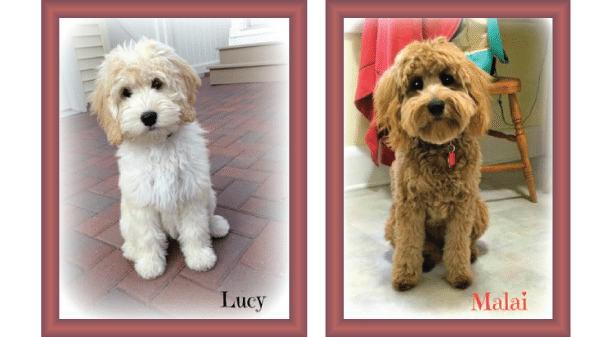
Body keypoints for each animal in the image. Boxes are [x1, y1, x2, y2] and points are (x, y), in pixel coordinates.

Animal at [93, 37, 230, 278]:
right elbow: (148, 236)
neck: (158, 146)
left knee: (208, 216)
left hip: (208, 193)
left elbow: (195, 229)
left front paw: (199, 257)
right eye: (126, 92)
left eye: (157, 83)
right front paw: (150, 264)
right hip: (125, 218)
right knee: (132, 238)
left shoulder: (191, 193)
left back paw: (217, 225)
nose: (148, 116)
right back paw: (132, 250)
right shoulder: (142, 203)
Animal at [372, 37, 492, 288]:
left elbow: (457, 244)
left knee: (463, 243)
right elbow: (408, 245)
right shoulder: (409, 206)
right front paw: (405, 276)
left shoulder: (462, 206)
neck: (440, 146)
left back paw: (471, 254)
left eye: (447, 79)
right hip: (392, 222)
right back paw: (427, 259)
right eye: (416, 83)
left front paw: (460, 275)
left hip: (479, 209)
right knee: (421, 247)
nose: (436, 105)